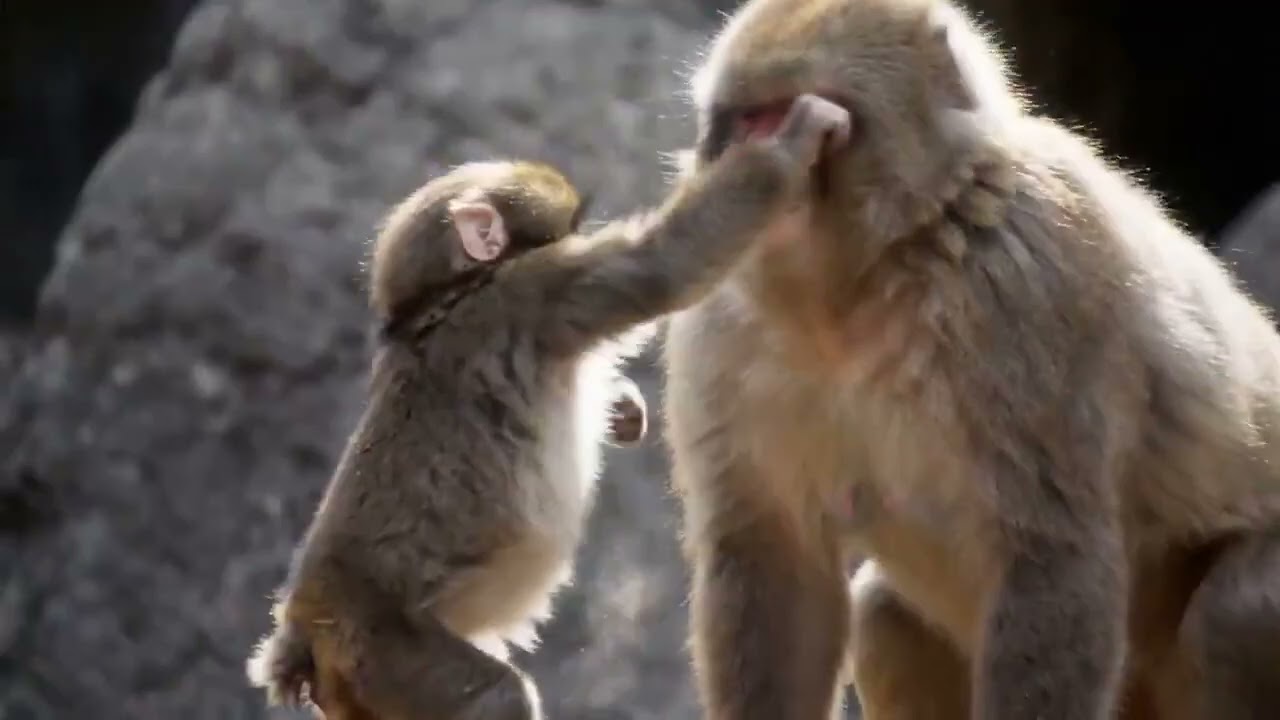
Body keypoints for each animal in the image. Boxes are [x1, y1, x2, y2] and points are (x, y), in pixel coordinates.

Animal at [246, 95, 851, 720]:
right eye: (570, 230)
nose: (585, 231)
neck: (442, 299)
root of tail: (305, 627)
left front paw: (621, 409)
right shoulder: (536, 289)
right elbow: (661, 266)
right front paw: (790, 144)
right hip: (382, 648)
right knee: (497, 698)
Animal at [660, 0, 1280, 718]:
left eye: (787, 116)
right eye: (739, 119)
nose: (734, 172)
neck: (862, 287)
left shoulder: (1028, 286)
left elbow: (1052, 557)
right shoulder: (723, 319)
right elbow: (771, 551)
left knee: (1233, 614)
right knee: (885, 620)